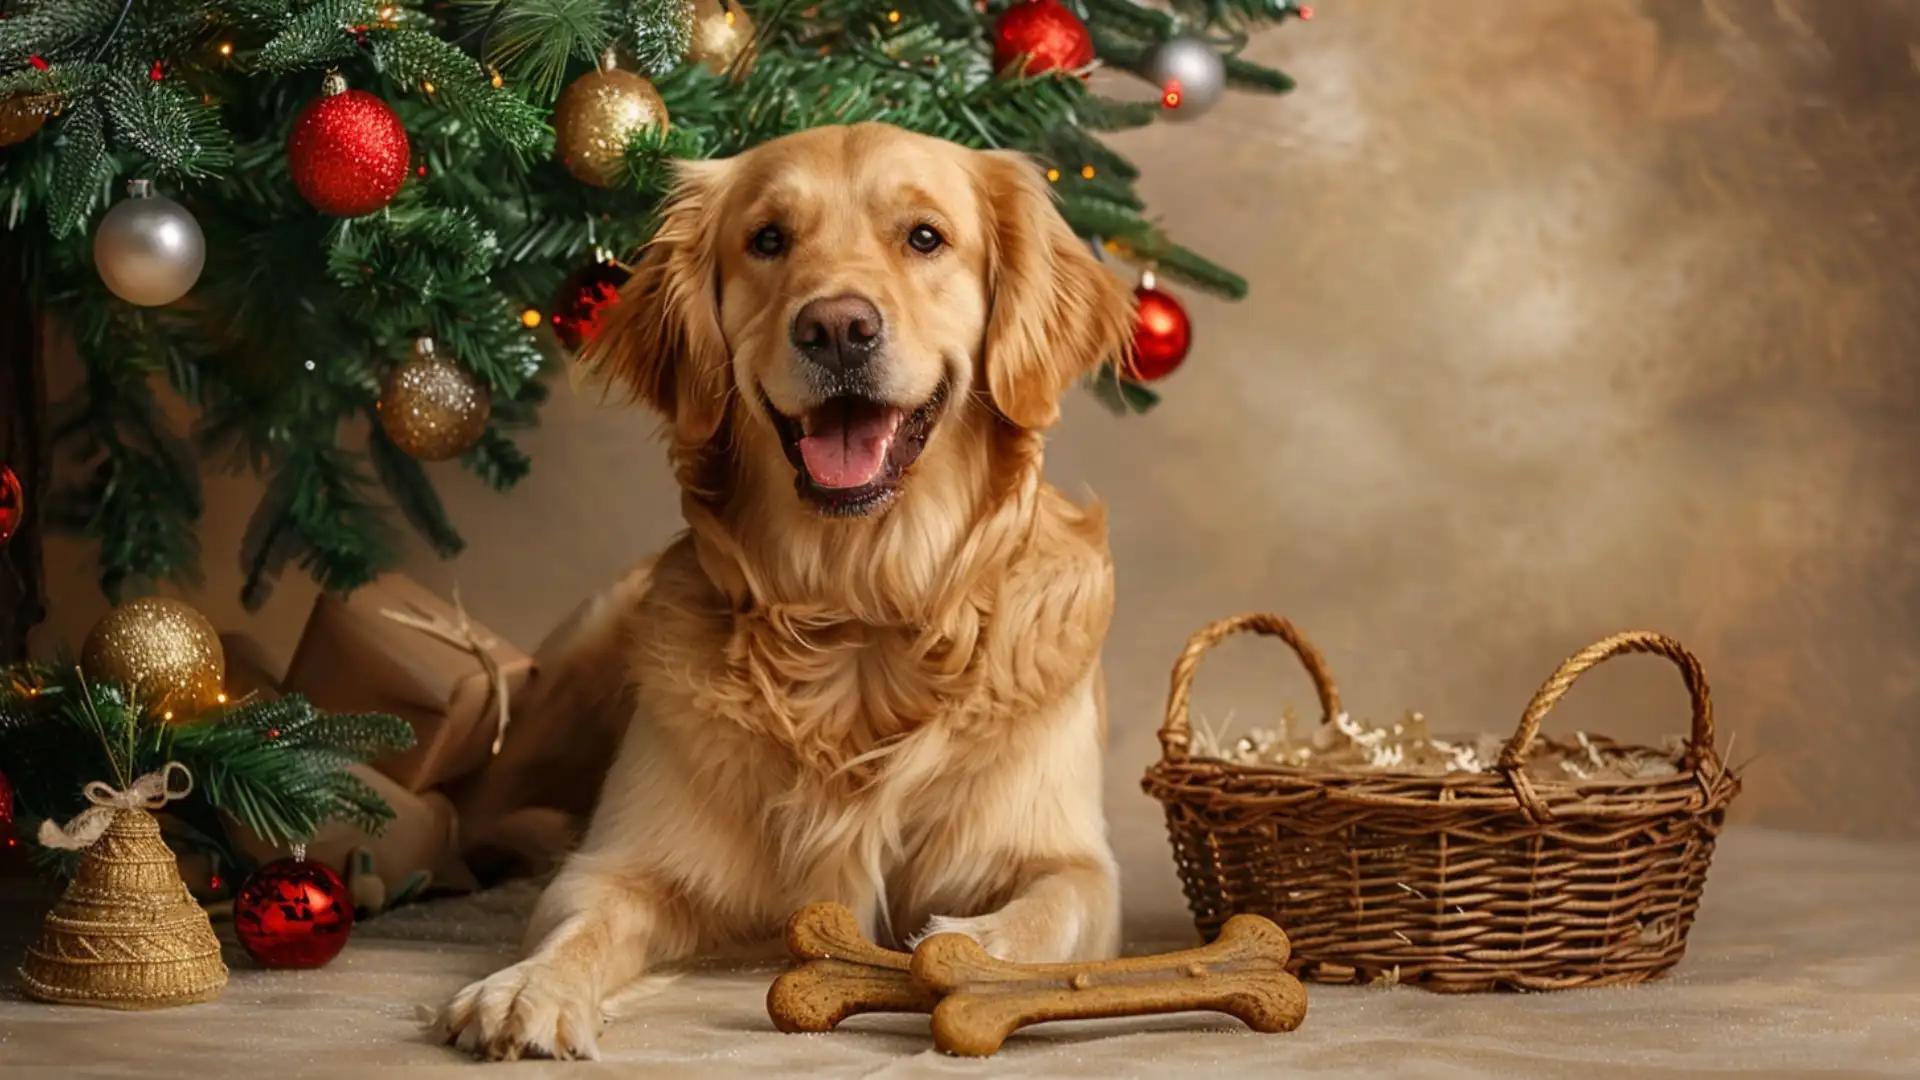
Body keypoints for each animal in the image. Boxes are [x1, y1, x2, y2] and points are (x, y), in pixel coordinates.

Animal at [439, 122, 1128, 1053]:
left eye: (925, 237)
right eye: (768, 240)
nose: (837, 327)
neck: (862, 609)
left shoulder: (1074, 859)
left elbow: (1048, 911)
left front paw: (969, 952)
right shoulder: (621, 863)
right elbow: (581, 922)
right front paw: (525, 989)